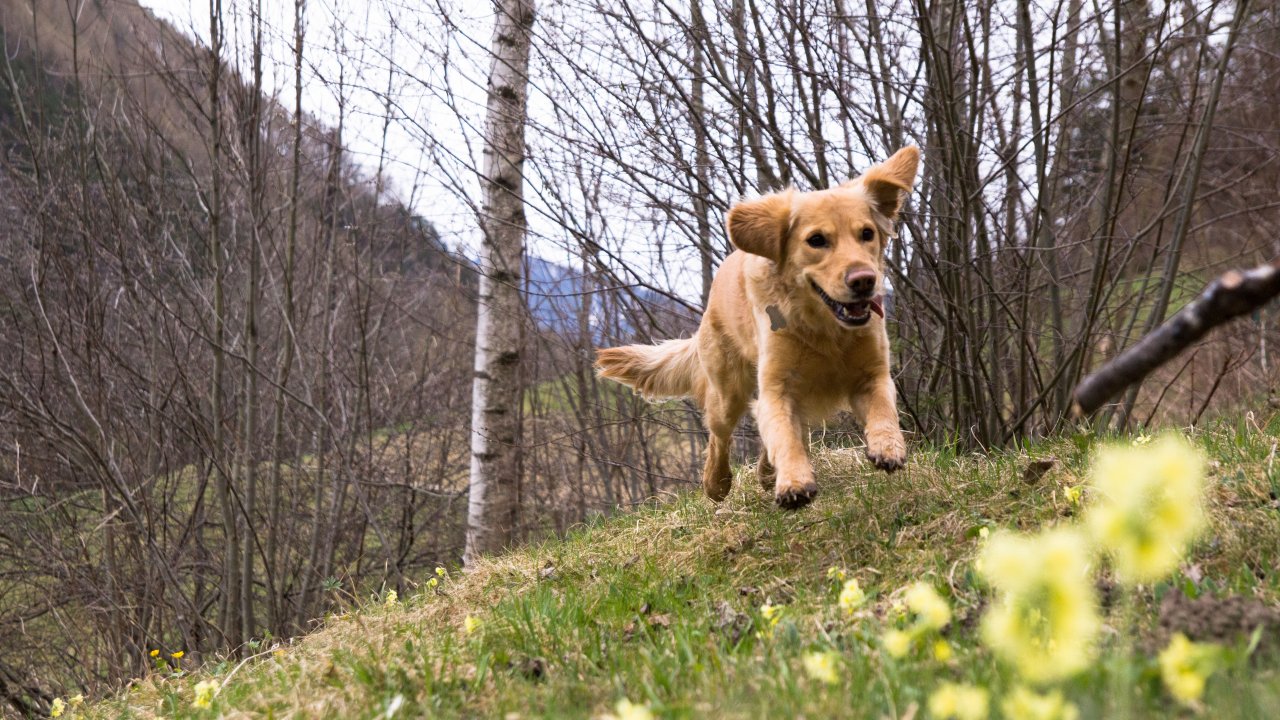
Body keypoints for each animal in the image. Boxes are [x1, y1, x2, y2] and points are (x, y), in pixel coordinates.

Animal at [599, 144, 921, 504]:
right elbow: (783, 436)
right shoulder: (776, 387)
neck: (824, 329)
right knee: (720, 436)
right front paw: (794, 481)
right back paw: (717, 481)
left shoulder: (872, 374)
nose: (864, 280)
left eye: (866, 234)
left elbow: (883, 410)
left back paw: (767, 472)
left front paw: (887, 447)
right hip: (727, 393)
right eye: (816, 240)